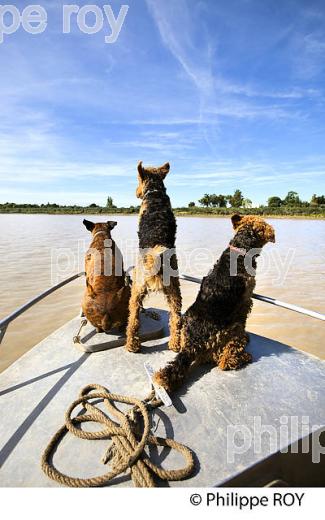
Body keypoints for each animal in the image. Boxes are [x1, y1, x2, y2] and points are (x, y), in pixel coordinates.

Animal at [124, 160, 181, 352]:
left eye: (137, 179)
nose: (136, 193)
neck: (155, 192)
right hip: (174, 290)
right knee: (176, 318)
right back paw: (175, 344)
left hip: (136, 288)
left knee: (133, 319)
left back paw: (131, 345)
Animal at [153, 214, 274, 390]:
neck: (240, 250)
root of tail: (193, 344)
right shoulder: (245, 302)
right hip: (231, 330)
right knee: (225, 360)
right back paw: (243, 355)